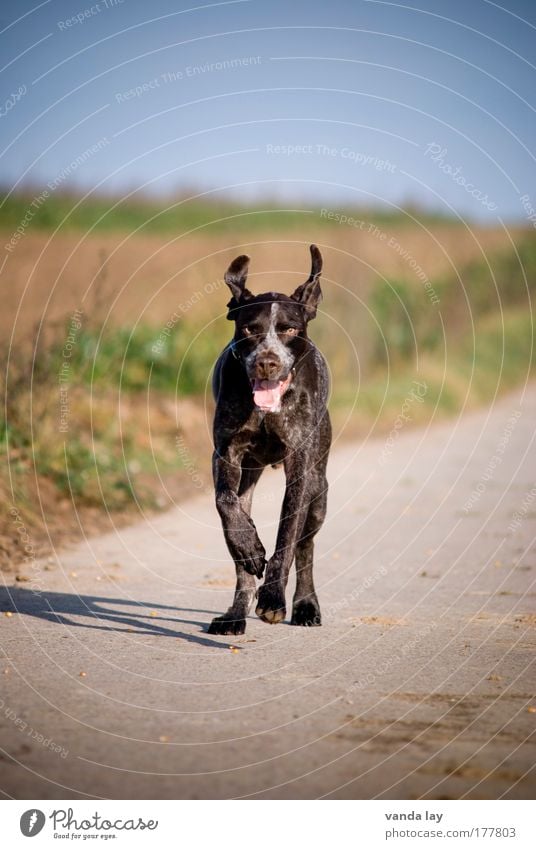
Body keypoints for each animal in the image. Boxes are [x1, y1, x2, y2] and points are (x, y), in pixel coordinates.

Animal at [209, 242, 330, 632]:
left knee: (306, 549)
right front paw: (250, 546)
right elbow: (225, 502)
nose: (267, 362)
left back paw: (306, 605)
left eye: (289, 329)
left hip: (319, 492)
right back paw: (235, 613)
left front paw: (274, 597)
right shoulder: (225, 453)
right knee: (240, 563)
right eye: (250, 328)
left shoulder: (300, 467)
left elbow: (287, 538)